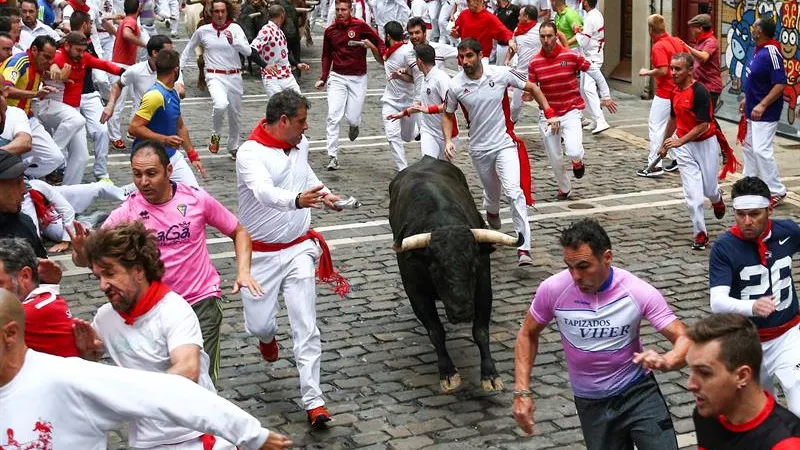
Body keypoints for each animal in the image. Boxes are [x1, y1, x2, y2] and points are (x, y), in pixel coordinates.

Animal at [390, 156, 524, 394]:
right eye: (434, 269)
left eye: (473, 265)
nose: (461, 313)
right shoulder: (415, 293)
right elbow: (435, 331)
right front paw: (448, 373)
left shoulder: (482, 286)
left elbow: (480, 331)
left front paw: (490, 375)